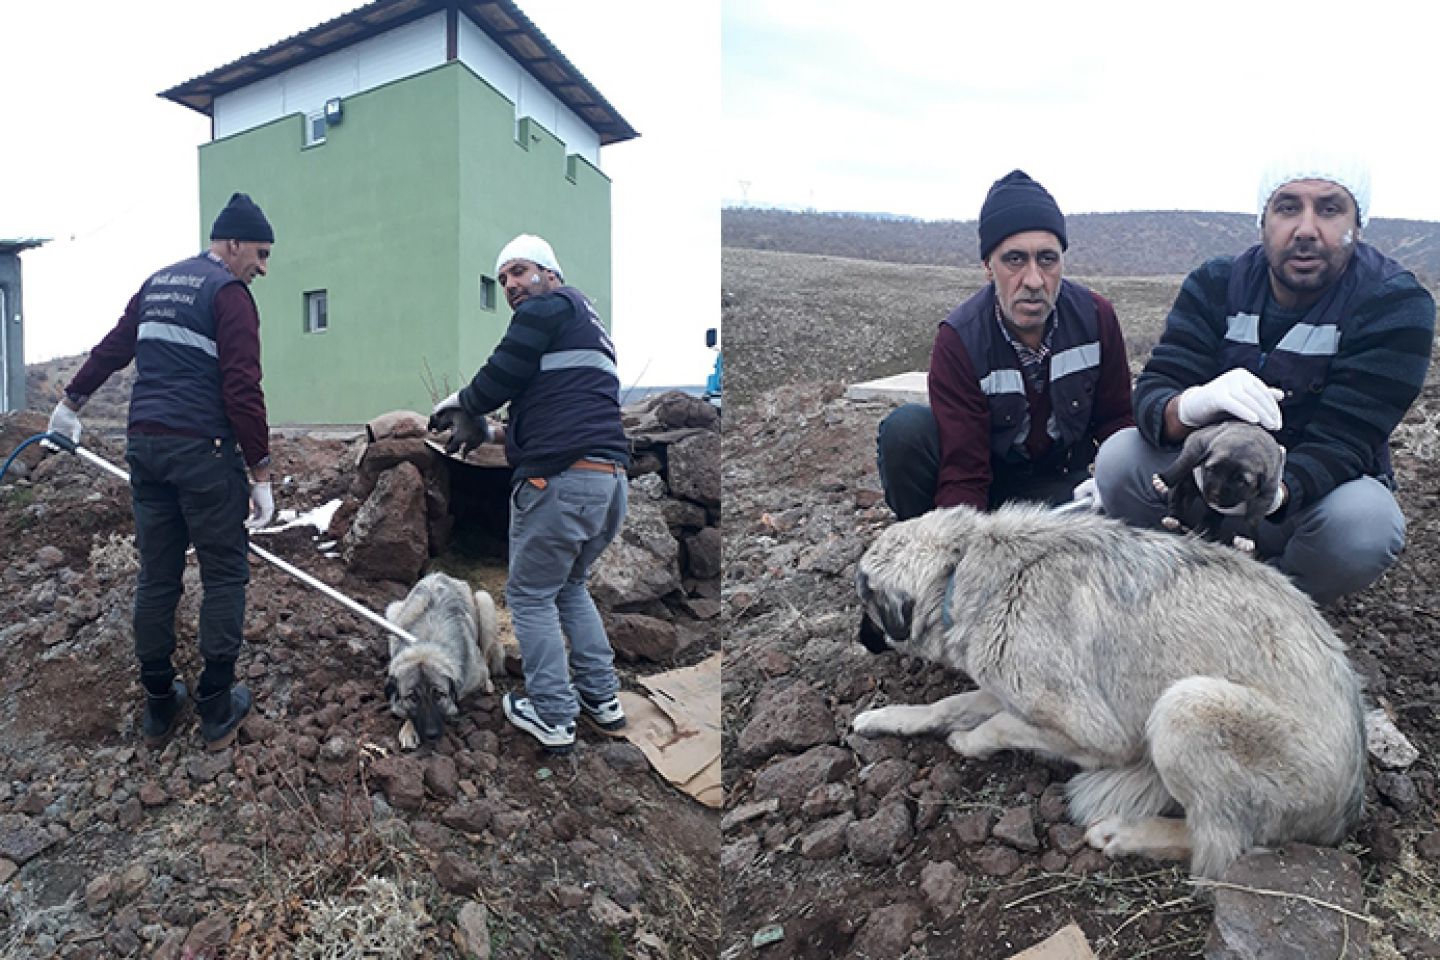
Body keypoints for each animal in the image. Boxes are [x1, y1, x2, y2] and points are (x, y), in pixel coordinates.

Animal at [385, 569, 509, 748]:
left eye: (439, 695)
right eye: (413, 698)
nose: (432, 735)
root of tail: (441, 574)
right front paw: (408, 728)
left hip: (484, 600)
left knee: (486, 656)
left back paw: (488, 684)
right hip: (393, 610)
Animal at [846, 506, 1365, 880]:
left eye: (864, 600)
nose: (860, 641)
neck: (962, 569)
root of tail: (1345, 811)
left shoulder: (1093, 735)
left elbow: (998, 725)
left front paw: (969, 743)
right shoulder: (1004, 685)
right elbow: (947, 705)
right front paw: (884, 718)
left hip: (1185, 706)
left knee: (1221, 848)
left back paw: (1126, 834)